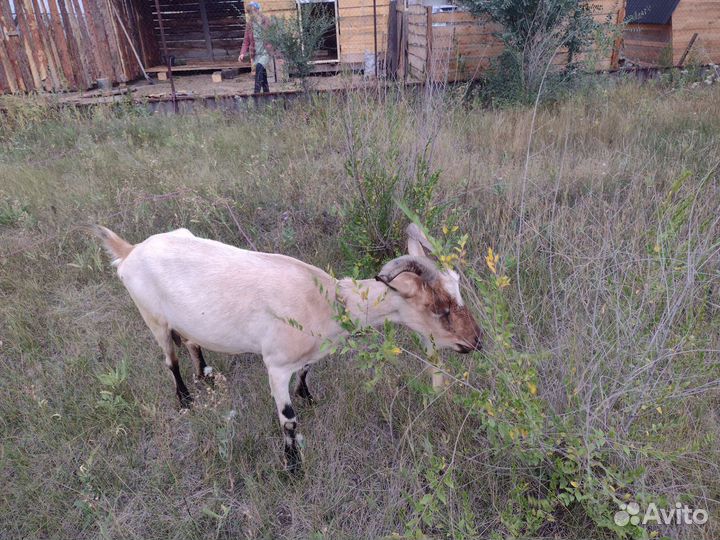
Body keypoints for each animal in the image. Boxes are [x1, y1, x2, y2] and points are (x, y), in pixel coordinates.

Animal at [92, 224, 483, 470]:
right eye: (441, 308)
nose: (475, 341)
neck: (328, 299)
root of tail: (130, 251)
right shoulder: (276, 365)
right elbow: (289, 420)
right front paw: (293, 467)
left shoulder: (308, 354)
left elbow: (308, 370)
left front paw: (309, 396)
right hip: (152, 318)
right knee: (169, 360)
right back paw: (186, 399)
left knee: (190, 341)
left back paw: (206, 374)